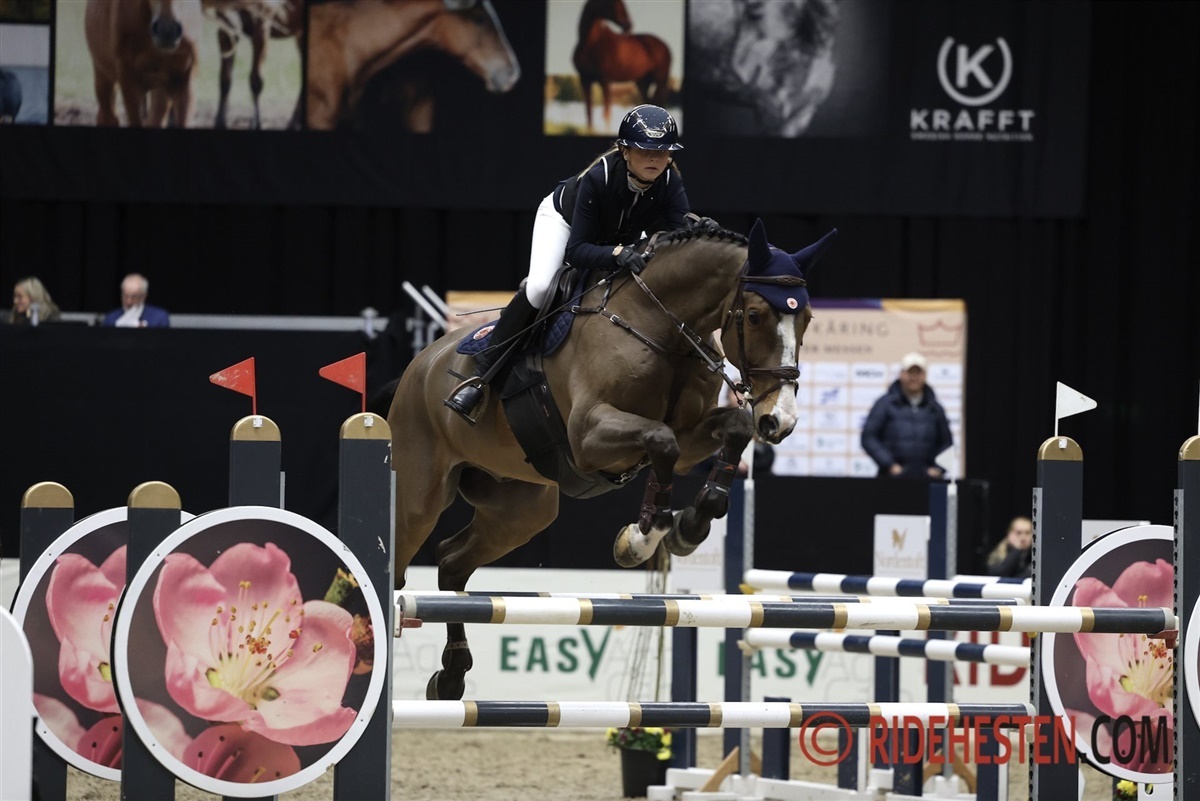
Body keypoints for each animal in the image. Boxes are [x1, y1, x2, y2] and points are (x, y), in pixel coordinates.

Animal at [209, 0, 304, 129]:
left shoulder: (262, 25)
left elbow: (256, 81)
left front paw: (256, 123)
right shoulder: (225, 28)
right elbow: (225, 80)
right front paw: (220, 122)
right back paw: (294, 123)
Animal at [384, 219, 837, 699]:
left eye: (807, 318)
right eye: (753, 316)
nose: (780, 420)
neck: (662, 326)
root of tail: (420, 365)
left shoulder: (690, 436)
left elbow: (726, 430)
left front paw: (690, 526)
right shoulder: (588, 436)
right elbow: (661, 441)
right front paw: (642, 538)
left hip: (522, 509)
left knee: (452, 563)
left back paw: (452, 676)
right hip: (419, 497)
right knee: (400, 565)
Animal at [573, 0, 671, 132]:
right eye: (613, 3)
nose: (628, 25)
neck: (591, 44)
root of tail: (665, 46)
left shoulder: (605, 80)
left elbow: (606, 113)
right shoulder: (584, 79)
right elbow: (589, 112)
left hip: (660, 80)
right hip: (643, 83)